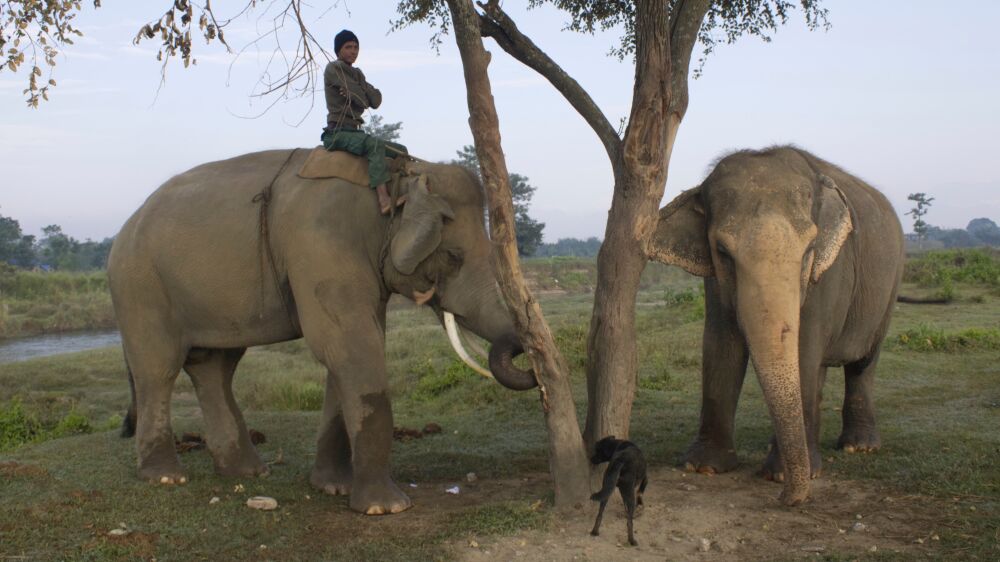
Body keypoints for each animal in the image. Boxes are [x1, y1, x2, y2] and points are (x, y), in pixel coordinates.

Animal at [105, 148, 536, 512]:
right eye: (452, 256)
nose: (528, 356)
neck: (397, 177)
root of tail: (125, 226)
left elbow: (351, 351)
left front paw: (334, 488)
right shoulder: (321, 247)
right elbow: (348, 345)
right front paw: (386, 508)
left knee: (215, 368)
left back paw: (247, 472)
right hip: (139, 286)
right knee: (158, 369)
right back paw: (166, 478)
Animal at [652, 144, 904, 504]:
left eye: (810, 248)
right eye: (723, 252)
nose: (788, 499)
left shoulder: (830, 270)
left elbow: (805, 346)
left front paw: (782, 474)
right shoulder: (715, 281)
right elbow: (720, 344)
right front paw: (703, 466)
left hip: (889, 288)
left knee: (863, 362)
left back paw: (858, 447)